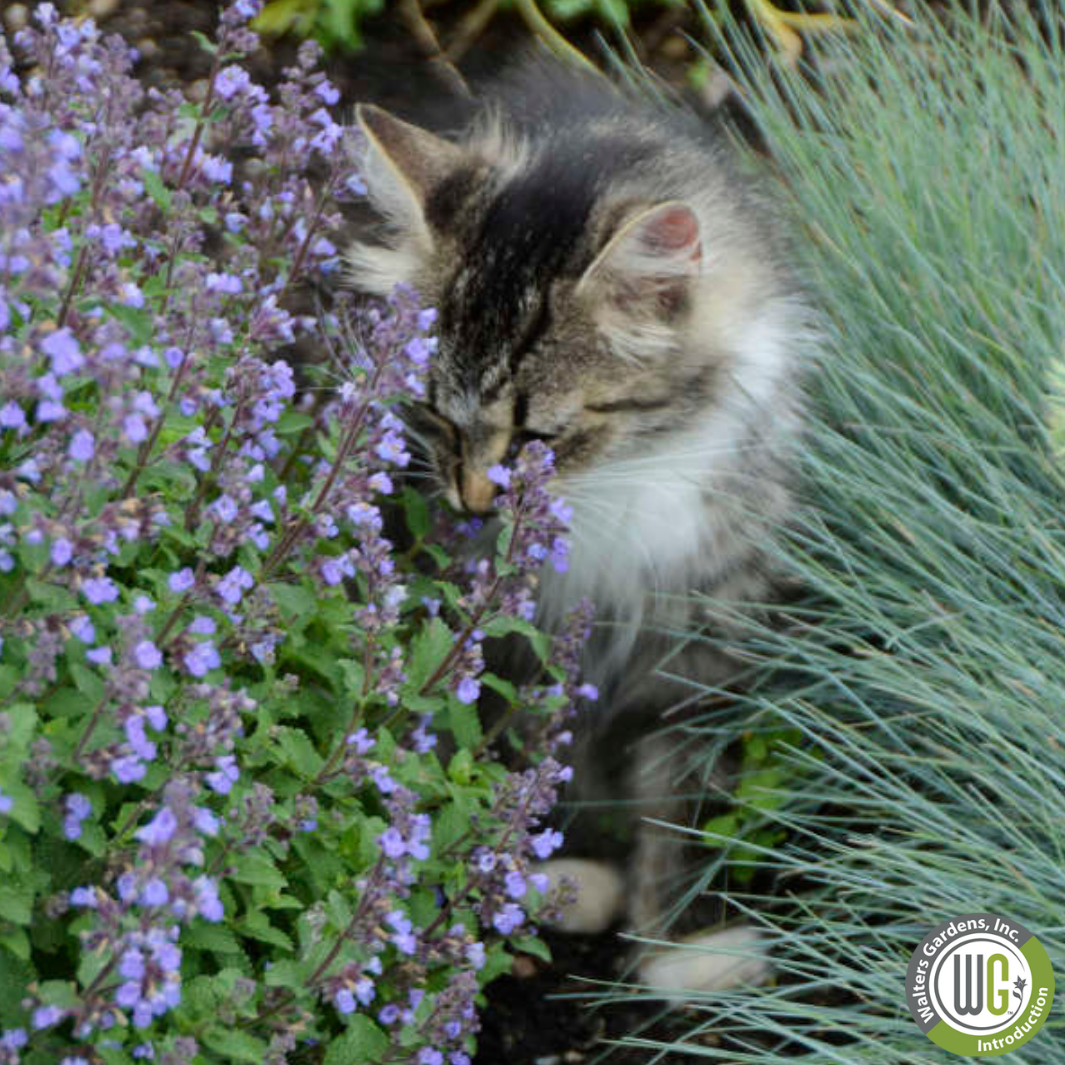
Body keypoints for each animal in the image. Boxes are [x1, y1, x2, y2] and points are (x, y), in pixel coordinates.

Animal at [345, 54, 809, 992]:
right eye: (437, 417)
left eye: (536, 440)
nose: (474, 504)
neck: (626, 479)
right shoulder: (519, 641)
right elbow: (527, 755)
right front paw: (543, 872)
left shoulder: (699, 639)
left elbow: (680, 799)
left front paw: (676, 947)